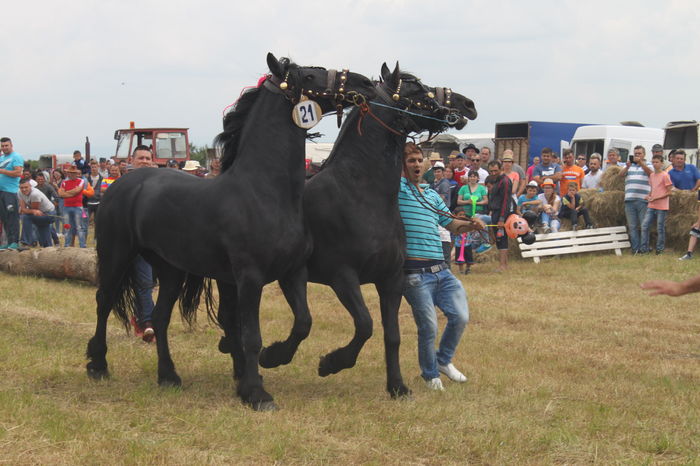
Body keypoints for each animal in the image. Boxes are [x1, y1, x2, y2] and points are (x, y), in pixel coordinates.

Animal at [85, 52, 376, 411]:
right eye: (308, 76)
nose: (365, 83)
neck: (265, 192)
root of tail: (122, 182)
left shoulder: (293, 272)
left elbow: (303, 323)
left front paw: (276, 358)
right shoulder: (249, 277)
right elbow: (250, 336)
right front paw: (256, 393)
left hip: (170, 269)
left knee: (162, 317)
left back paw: (168, 376)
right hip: (117, 253)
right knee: (103, 301)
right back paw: (98, 365)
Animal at [220, 63, 478, 398]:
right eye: (415, 88)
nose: (466, 105)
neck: (359, 193)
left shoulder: (391, 280)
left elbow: (392, 336)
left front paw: (397, 387)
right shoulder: (342, 276)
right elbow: (364, 325)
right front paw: (327, 363)